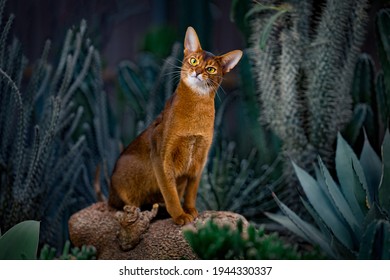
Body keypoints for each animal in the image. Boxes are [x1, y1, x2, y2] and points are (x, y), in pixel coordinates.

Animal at [109, 25, 242, 224]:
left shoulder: (200, 158)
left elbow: (192, 191)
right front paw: (179, 215)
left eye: (210, 69)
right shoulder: (161, 157)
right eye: (193, 60)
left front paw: (190, 210)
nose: (198, 72)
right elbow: (170, 193)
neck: (196, 113)